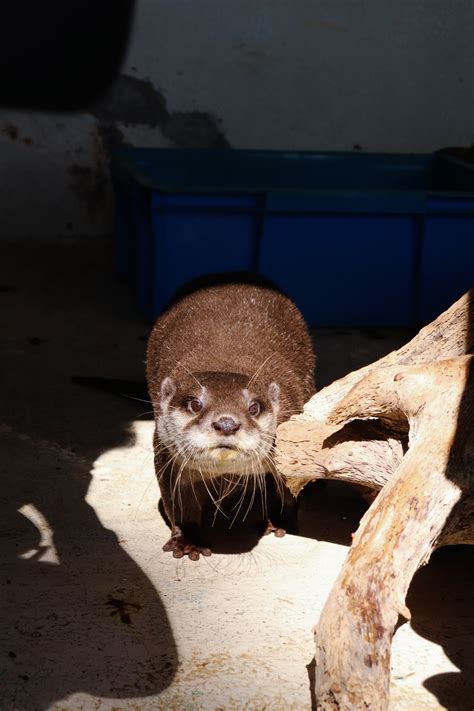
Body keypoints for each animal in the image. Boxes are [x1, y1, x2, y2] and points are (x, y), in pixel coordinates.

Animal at [144, 280, 314, 560]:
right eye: (195, 404)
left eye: (254, 407)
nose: (226, 424)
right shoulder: (167, 456)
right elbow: (178, 504)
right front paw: (188, 540)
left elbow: (289, 492)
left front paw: (278, 521)